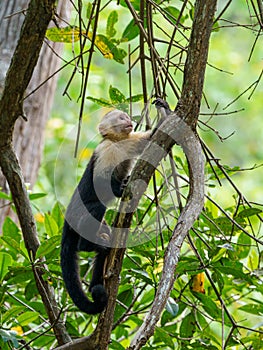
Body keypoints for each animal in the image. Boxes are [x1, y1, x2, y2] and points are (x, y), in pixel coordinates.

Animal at [60, 98, 171, 314]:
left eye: (127, 117)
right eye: (121, 118)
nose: (128, 120)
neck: (117, 142)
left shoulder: (130, 140)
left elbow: (154, 138)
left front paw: (164, 109)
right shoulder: (105, 150)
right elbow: (100, 181)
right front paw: (120, 188)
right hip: (79, 215)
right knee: (96, 208)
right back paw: (87, 245)